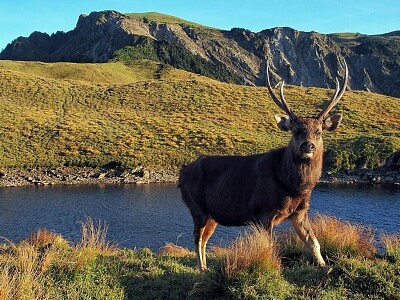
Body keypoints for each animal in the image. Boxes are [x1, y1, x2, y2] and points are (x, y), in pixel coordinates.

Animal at [180, 61, 348, 272]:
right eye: (296, 131)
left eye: (319, 131)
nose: (308, 146)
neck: (292, 187)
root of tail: (181, 174)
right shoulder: (263, 211)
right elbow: (271, 246)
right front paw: (274, 269)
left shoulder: (300, 212)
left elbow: (314, 242)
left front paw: (325, 266)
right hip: (197, 207)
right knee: (197, 238)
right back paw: (202, 269)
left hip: (213, 215)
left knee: (203, 239)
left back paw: (205, 267)